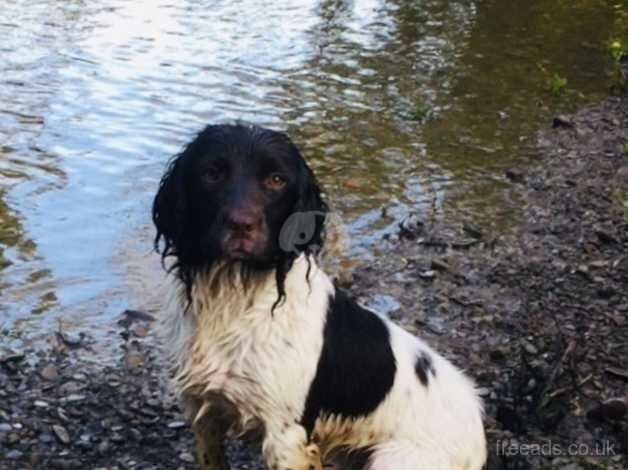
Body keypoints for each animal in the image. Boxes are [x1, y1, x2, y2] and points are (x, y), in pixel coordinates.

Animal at [152, 125, 486, 470]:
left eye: (276, 179)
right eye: (212, 173)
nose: (241, 225)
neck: (234, 295)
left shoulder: (286, 436)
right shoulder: (203, 410)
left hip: (393, 459)